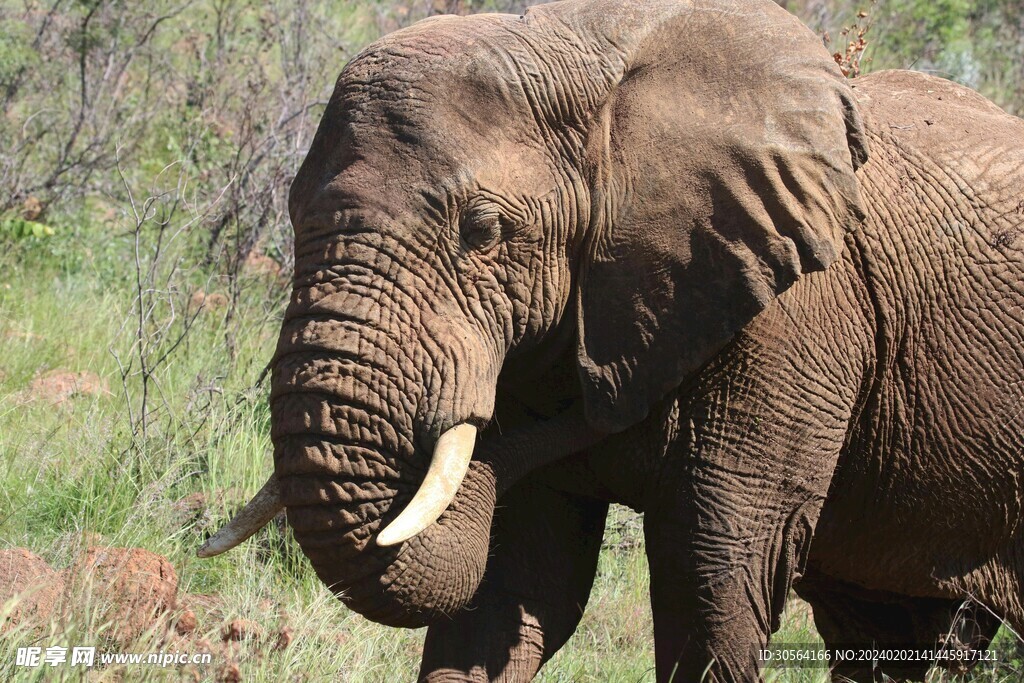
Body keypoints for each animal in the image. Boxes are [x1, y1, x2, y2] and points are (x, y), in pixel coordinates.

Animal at [197, 0, 1024, 680]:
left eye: (484, 231)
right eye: (292, 215)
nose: (605, 407)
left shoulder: (796, 321)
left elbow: (716, 570)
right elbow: (518, 579)